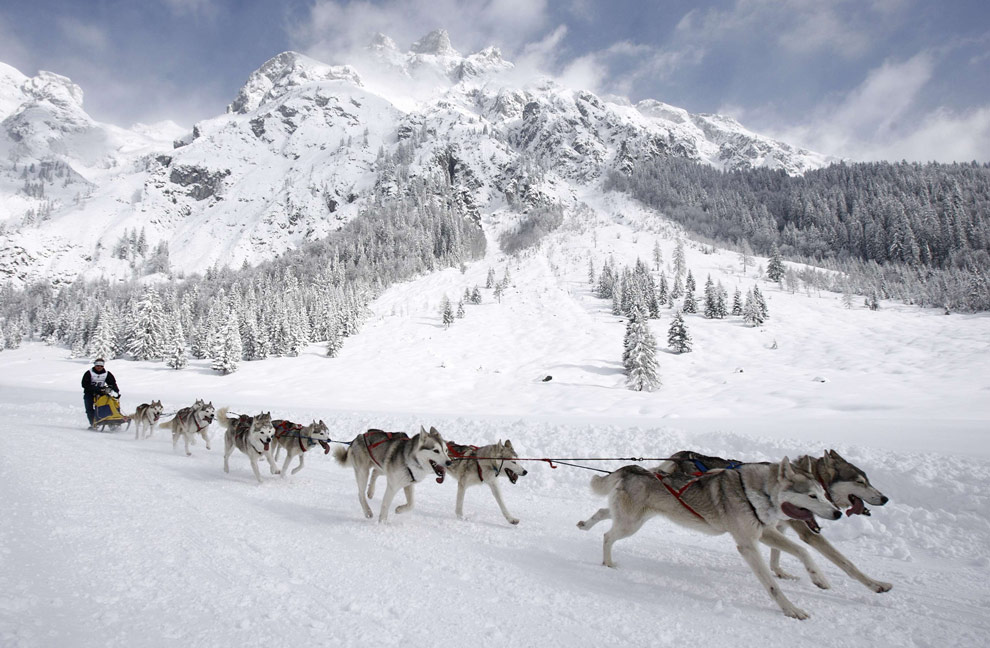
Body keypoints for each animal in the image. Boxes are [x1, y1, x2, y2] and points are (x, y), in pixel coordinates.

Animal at [576, 458, 840, 620]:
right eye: (812, 495)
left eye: (823, 494)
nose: (837, 513)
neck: (754, 493)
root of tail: (633, 469)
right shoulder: (748, 544)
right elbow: (772, 585)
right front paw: (791, 610)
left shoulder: (764, 533)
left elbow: (803, 551)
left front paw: (819, 578)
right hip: (630, 524)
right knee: (607, 535)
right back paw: (608, 562)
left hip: (633, 518)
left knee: (603, 512)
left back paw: (585, 524)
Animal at [664, 450, 896, 592]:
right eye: (860, 482)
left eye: (868, 480)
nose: (885, 498)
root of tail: (679, 456)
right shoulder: (807, 533)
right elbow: (847, 563)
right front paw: (876, 584)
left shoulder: (778, 525)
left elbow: (777, 554)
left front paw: (780, 572)